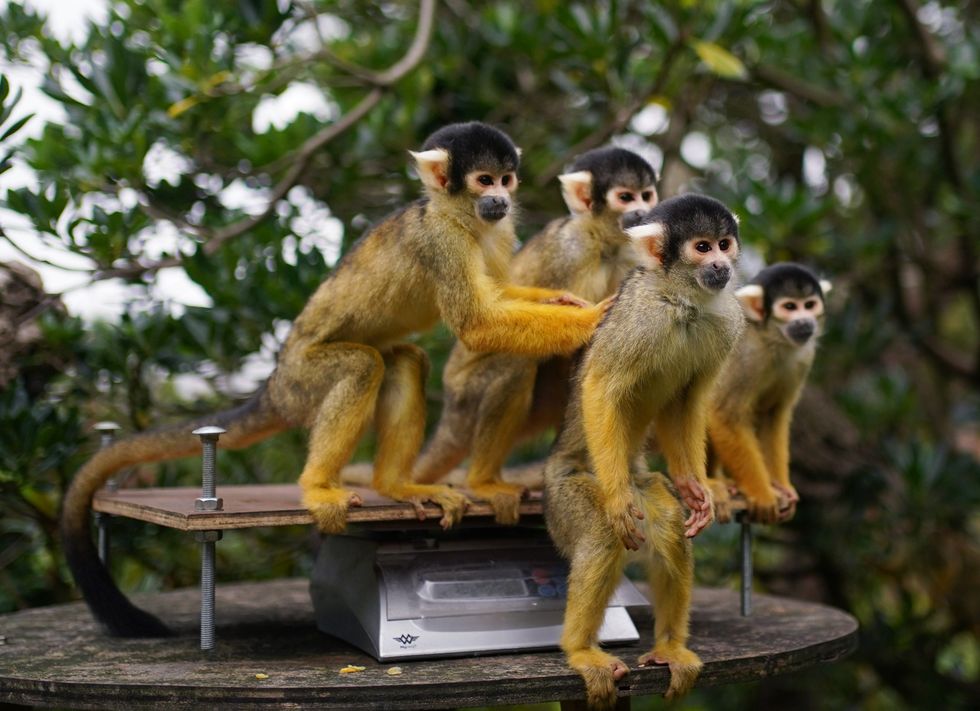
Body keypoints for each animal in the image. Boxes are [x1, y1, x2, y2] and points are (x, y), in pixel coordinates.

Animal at [60, 121, 612, 637]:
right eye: (483, 180)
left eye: (506, 178)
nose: (500, 198)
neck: (460, 215)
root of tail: (274, 384)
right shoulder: (440, 240)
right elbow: (476, 323)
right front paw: (593, 317)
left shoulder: (497, 231)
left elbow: (498, 294)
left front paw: (563, 301)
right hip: (303, 380)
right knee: (361, 365)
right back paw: (319, 487)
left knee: (404, 360)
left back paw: (396, 484)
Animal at [413, 147, 658, 524]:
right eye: (626, 197)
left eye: (647, 196)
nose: (644, 212)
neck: (604, 243)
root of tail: (451, 405)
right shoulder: (569, 252)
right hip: (467, 395)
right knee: (518, 362)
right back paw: (483, 480)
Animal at [543, 194, 746, 708]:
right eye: (701, 247)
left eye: (724, 244)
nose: (720, 264)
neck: (682, 301)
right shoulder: (640, 317)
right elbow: (601, 387)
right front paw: (616, 501)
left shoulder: (727, 319)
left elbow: (687, 402)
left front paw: (697, 489)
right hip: (563, 495)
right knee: (600, 532)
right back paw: (579, 649)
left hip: (645, 481)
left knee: (670, 526)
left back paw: (670, 646)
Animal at [707, 262, 831, 524]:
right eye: (790, 307)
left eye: (809, 305)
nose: (805, 322)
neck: (770, 338)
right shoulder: (745, 354)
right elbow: (725, 414)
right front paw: (763, 493)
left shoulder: (804, 357)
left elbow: (773, 415)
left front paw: (781, 486)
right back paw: (709, 483)